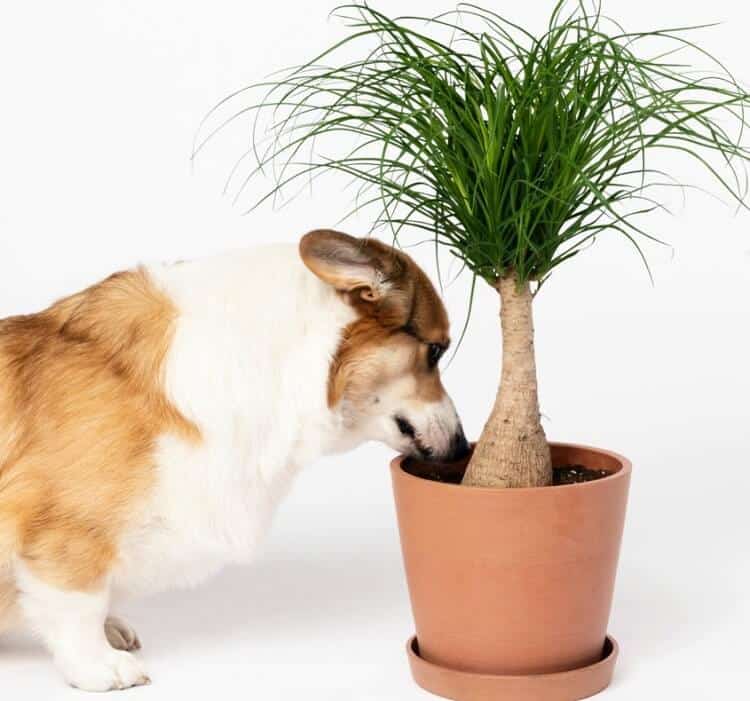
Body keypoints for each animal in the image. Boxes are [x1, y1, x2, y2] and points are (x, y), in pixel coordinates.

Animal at [0, 228, 470, 688]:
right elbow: (78, 604)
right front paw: (98, 665)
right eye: (436, 351)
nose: (464, 447)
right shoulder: (67, 530)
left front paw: (109, 630)